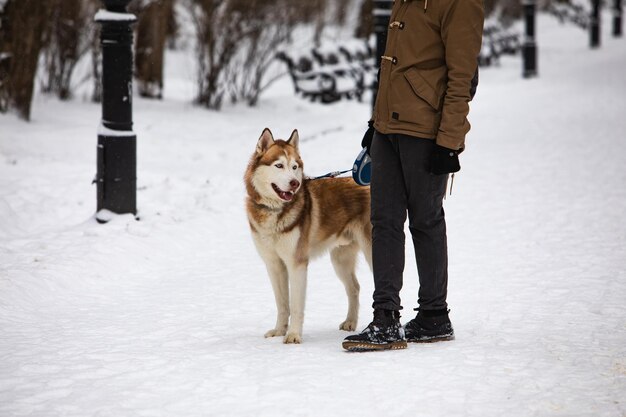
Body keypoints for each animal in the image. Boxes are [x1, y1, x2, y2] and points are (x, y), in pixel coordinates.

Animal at [244, 128, 370, 342]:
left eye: (294, 167)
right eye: (279, 165)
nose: (294, 183)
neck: (274, 211)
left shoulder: (297, 264)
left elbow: (295, 305)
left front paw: (294, 335)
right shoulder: (274, 264)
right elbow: (282, 304)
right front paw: (279, 331)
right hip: (340, 260)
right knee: (354, 287)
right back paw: (350, 322)